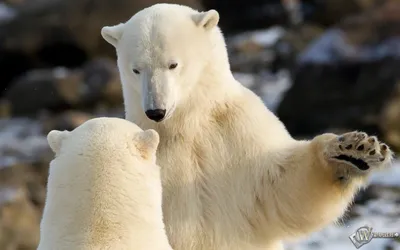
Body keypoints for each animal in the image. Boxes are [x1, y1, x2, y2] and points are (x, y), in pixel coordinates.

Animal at [101, 3, 396, 250]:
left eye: (173, 64)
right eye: (136, 69)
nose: (156, 111)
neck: (185, 123)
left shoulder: (238, 129)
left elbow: (281, 188)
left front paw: (354, 152)